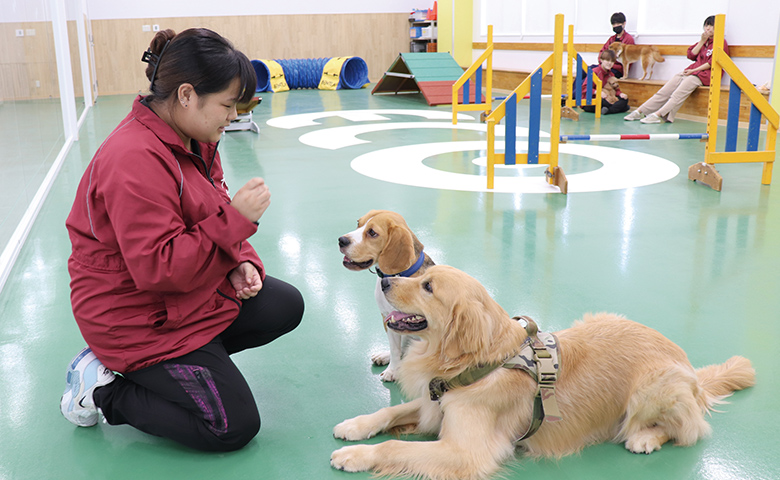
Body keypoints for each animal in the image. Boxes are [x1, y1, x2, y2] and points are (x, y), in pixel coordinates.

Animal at [330, 264, 756, 480]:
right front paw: (354, 426)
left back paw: (645, 437)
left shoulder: (466, 451)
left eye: (428, 286)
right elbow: (390, 412)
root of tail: (692, 371)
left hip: (654, 389)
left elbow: (393, 446)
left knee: (691, 428)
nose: (385, 279)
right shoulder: (434, 405)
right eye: (419, 277)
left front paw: (355, 456)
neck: (475, 364)